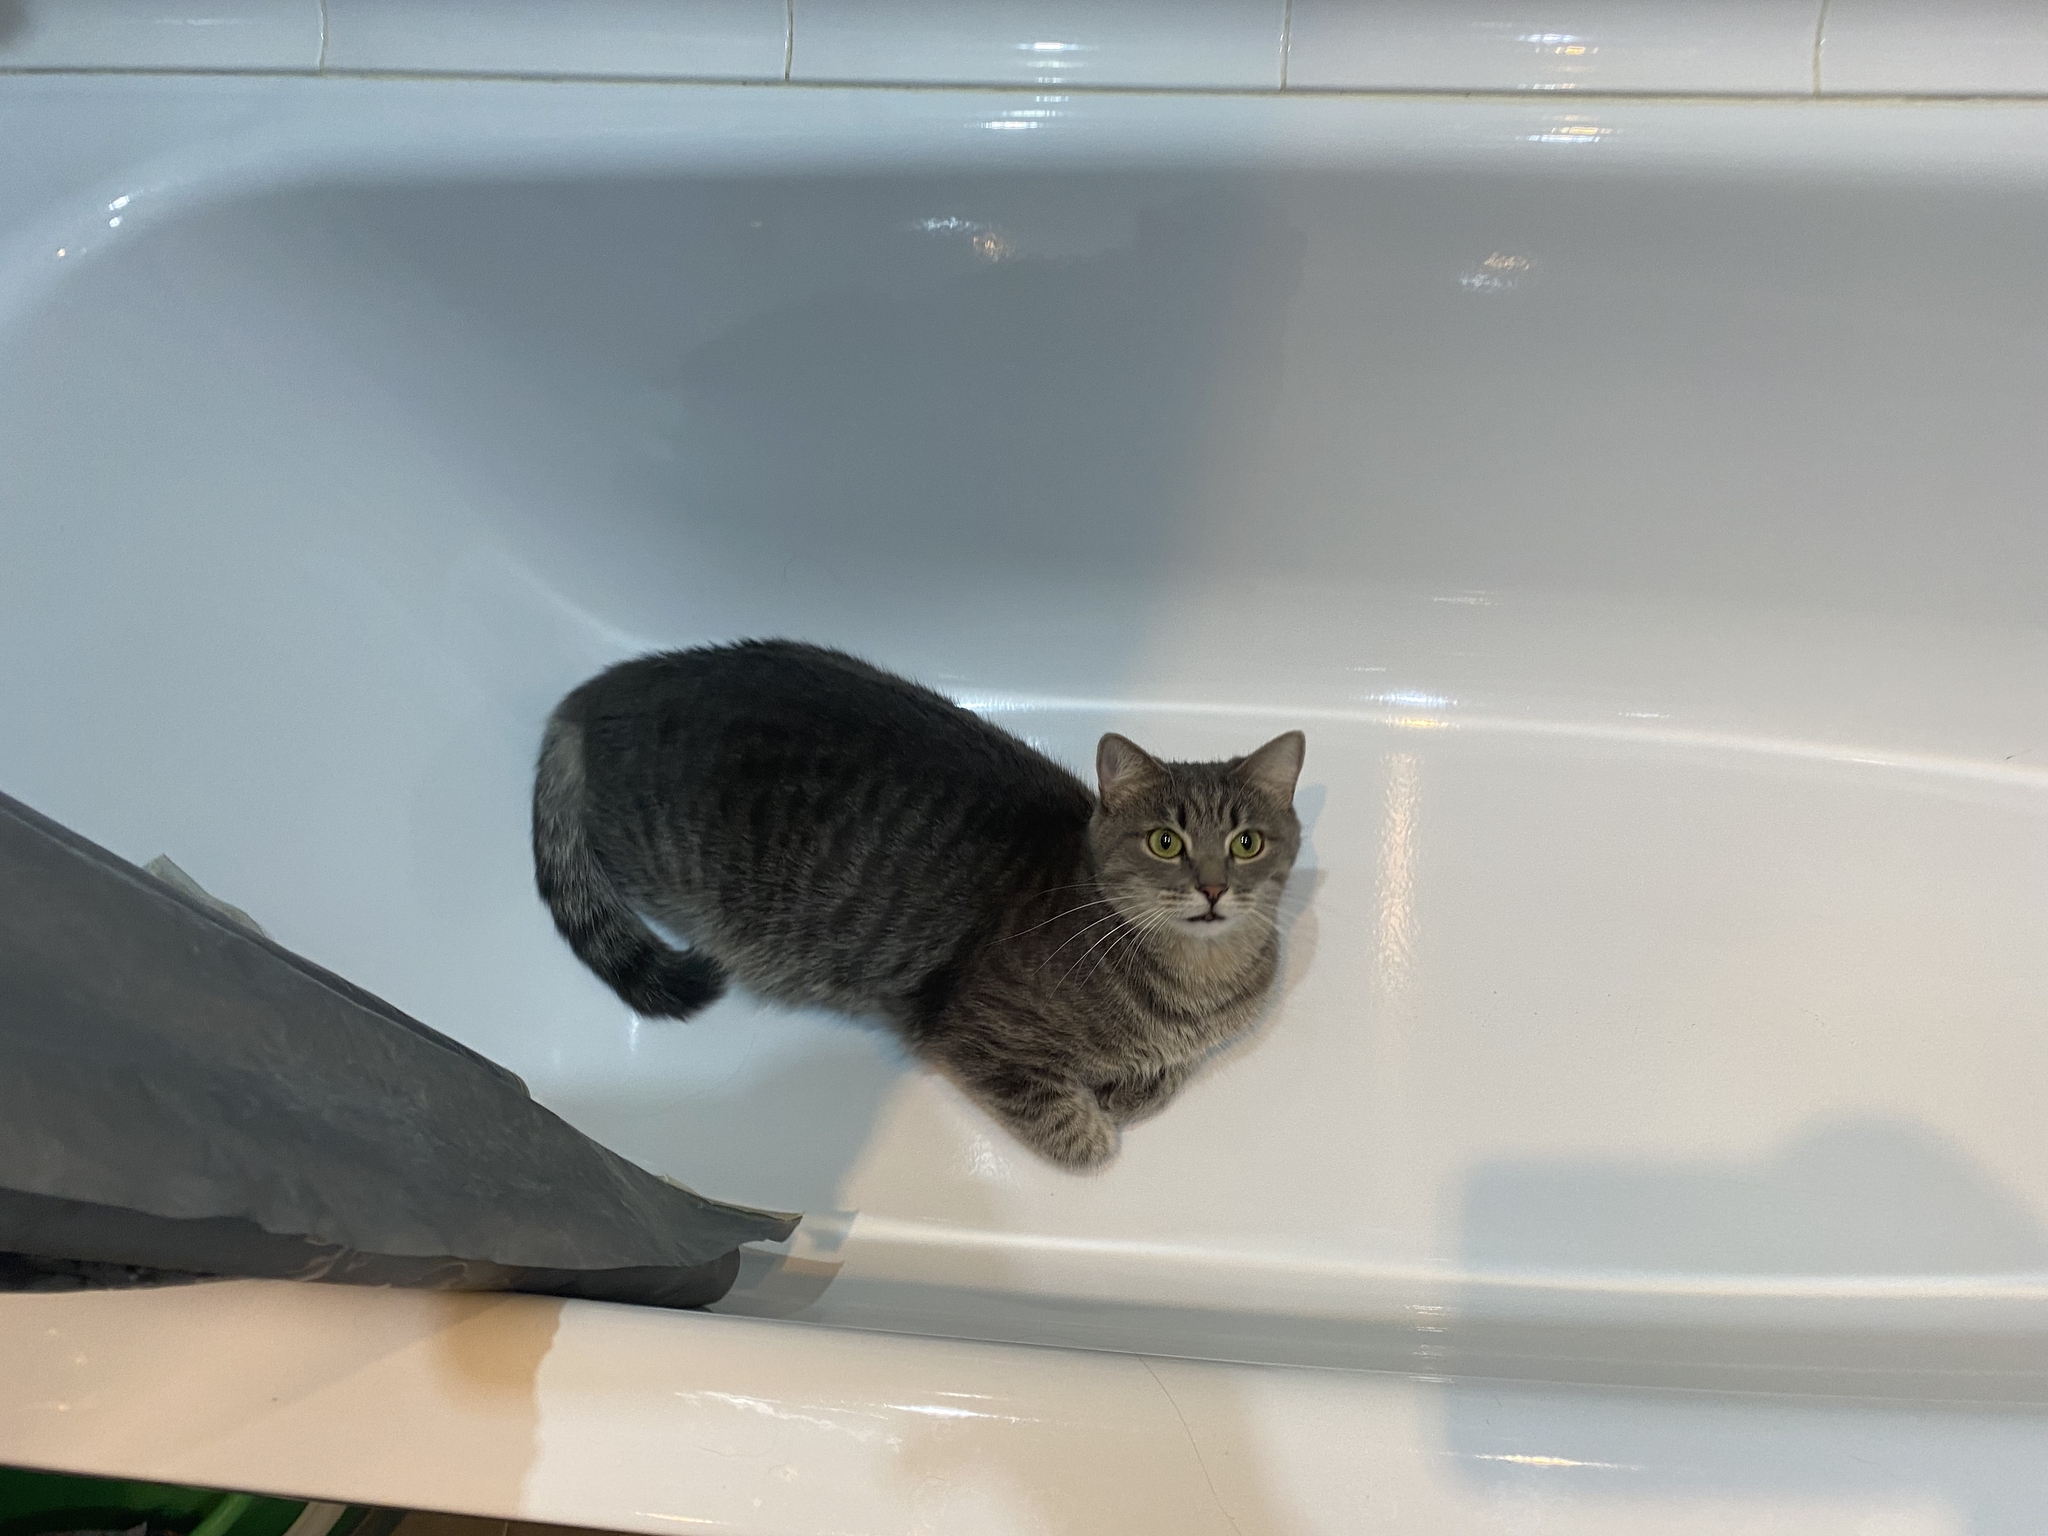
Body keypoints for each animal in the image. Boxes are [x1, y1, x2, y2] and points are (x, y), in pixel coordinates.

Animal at [533, 640, 1305, 1169]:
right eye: (1166, 842)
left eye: (1245, 842)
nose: (1213, 887)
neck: (1198, 981)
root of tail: (610, 684)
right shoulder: (971, 1031)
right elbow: (1062, 1121)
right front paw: (1095, 1128)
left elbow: (1170, 1074)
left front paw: (1132, 1089)